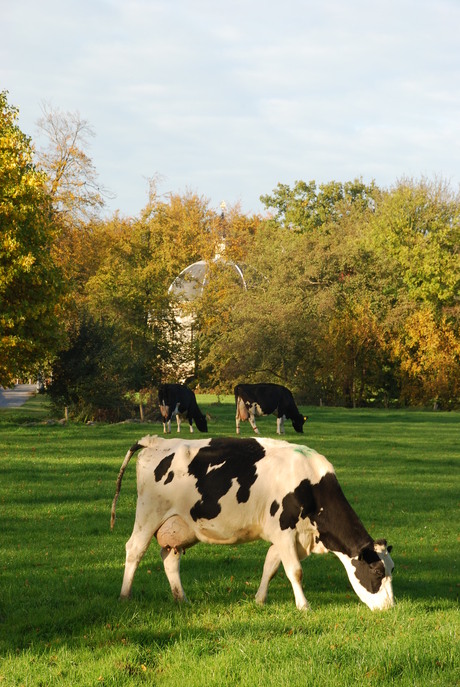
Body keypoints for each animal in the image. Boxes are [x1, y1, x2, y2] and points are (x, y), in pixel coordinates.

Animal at [109, 438, 394, 612]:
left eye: (392, 570)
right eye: (377, 572)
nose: (390, 608)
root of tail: (156, 441)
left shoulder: (286, 536)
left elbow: (271, 566)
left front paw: (259, 600)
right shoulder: (284, 530)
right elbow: (295, 571)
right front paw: (304, 606)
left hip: (178, 526)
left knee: (169, 558)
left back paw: (182, 599)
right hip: (148, 514)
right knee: (134, 550)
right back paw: (124, 595)